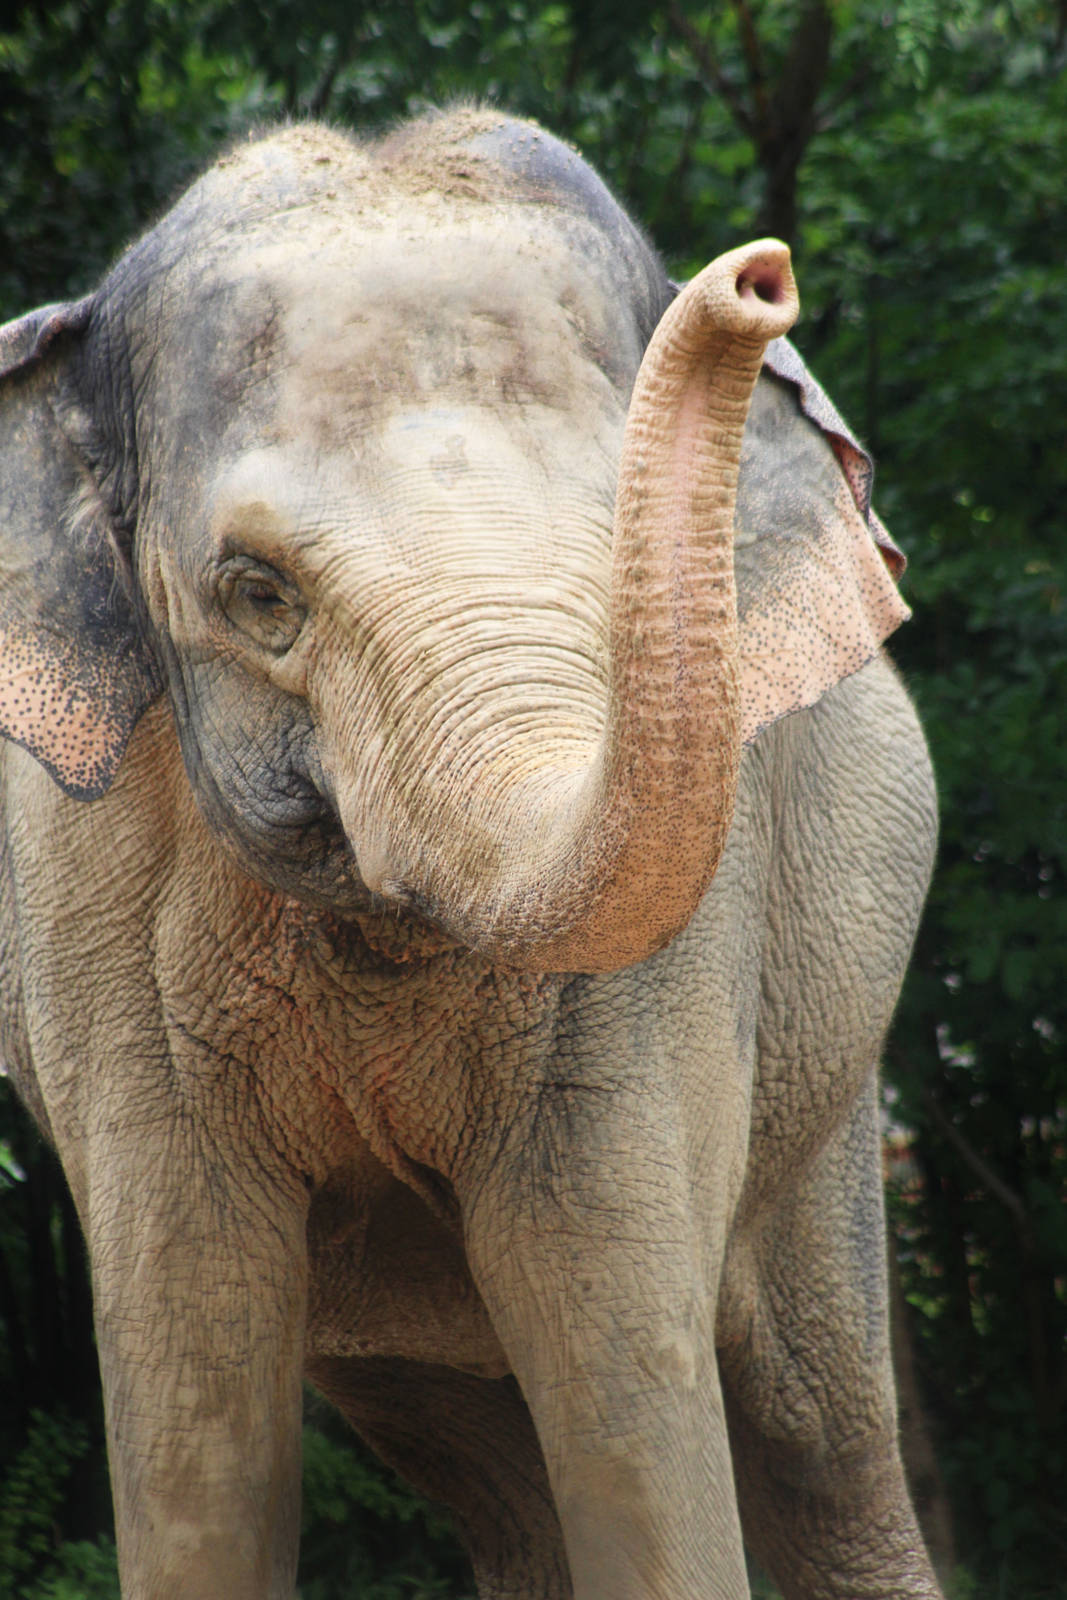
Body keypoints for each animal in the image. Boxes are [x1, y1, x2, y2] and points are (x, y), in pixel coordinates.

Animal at [0, 107, 942, 1600]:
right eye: (257, 597)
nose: (759, 278)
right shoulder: (89, 913)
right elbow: (194, 1394)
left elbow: (620, 1368)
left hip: (832, 1076)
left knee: (818, 1438)